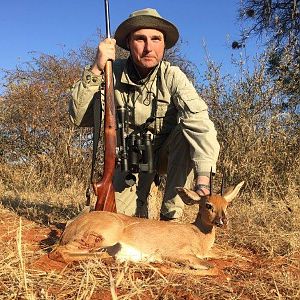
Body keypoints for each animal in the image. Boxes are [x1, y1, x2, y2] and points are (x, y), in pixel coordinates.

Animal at [49, 180, 244, 272]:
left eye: (226, 205)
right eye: (208, 205)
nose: (222, 221)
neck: (197, 234)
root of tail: (69, 228)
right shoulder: (175, 252)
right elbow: (208, 265)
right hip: (102, 236)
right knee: (59, 252)